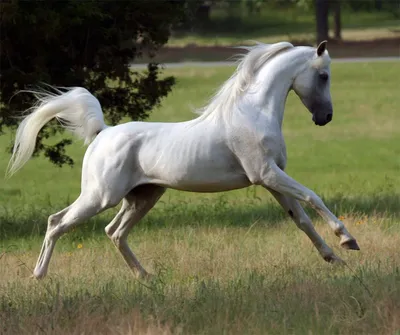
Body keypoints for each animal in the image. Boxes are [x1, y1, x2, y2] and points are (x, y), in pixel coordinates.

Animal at [8, 40, 360, 280]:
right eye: (323, 76)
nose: (325, 117)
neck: (253, 114)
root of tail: (102, 133)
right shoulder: (266, 174)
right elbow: (313, 198)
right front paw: (348, 240)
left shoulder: (273, 180)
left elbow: (301, 219)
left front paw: (335, 258)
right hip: (101, 196)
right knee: (57, 223)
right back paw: (38, 276)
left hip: (143, 196)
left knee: (114, 232)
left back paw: (145, 276)